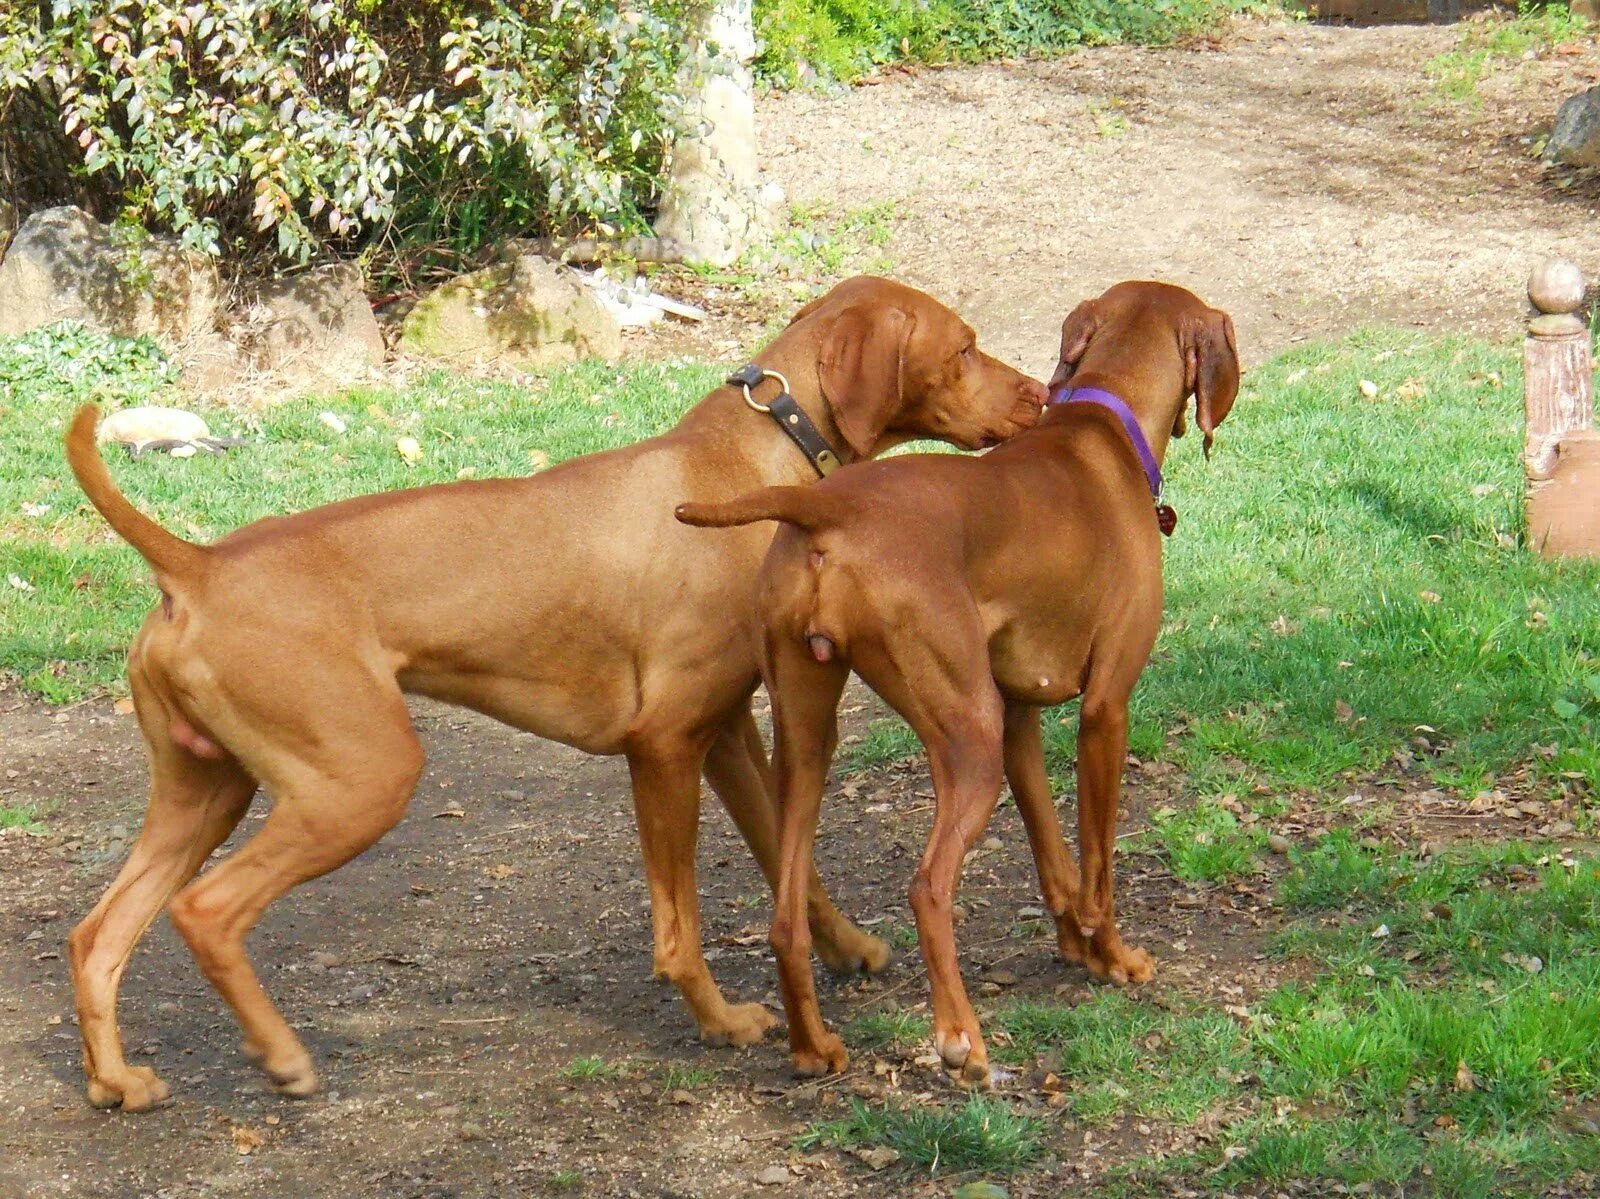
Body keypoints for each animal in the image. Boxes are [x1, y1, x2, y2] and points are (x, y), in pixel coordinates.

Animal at [62, 275, 1043, 1107]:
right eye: (965, 348)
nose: (1038, 396)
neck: (753, 453)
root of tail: (196, 565)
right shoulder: (664, 745)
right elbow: (678, 928)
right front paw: (721, 1020)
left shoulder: (726, 734)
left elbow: (786, 859)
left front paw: (847, 948)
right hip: (360, 780)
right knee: (206, 911)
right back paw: (282, 1054)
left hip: (206, 792)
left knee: (98, 933)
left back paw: (118, 1080)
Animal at [675, 280, 1235, 1082]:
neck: (1102, 418)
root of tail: (827, 504)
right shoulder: (1105, 710)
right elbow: (1097, 862)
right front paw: (1115, 957)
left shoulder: (1020, 718)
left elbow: (1055, 858)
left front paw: (1076, 947)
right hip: (967, 740)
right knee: (928, 886)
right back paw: (962, 1040)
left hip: (810, 739)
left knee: (786, 916)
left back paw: (813, 1047)